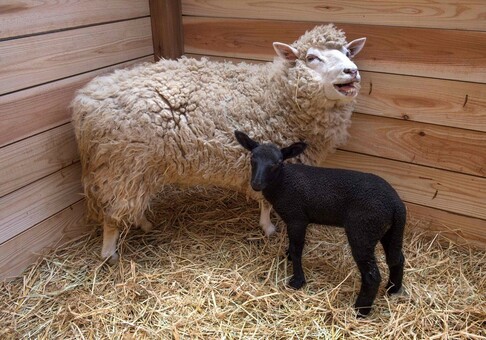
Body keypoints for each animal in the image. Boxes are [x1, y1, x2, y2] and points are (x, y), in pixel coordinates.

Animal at [71, 23, 364, 262]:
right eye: (311, 58)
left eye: (348, 53)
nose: (351, 71)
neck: (276, 94)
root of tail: (85, 99)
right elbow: (266, 202)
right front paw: (268, 228)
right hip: (121, 164)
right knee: (113, 212)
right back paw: (109, 254)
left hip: (140, 166)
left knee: (133, 201)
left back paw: (144, 224)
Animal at [235, 130, 406, 316]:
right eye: (253, 158)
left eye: (278, 163)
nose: (256, 184)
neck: (283, 182)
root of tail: (397, 205)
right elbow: (293, 245)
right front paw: (288, 257)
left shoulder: (297, 218)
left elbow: (297, 250)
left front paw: (297, 281)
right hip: (388, 231)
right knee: (397, 259)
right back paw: (392, 290)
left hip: (363, 230)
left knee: (372, 275)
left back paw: (361, 310)